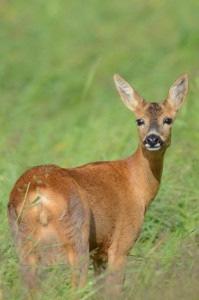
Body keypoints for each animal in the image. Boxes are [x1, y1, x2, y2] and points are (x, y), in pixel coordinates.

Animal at [7, 72, 188, 298]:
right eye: (139, 120)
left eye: (168, 119)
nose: (152, 139)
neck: (137, 185)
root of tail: (39, 194)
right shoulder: (121, 242)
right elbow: (114, 290)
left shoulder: (99, 250)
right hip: (76, 234)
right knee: (77, 287)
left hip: (22, 242)